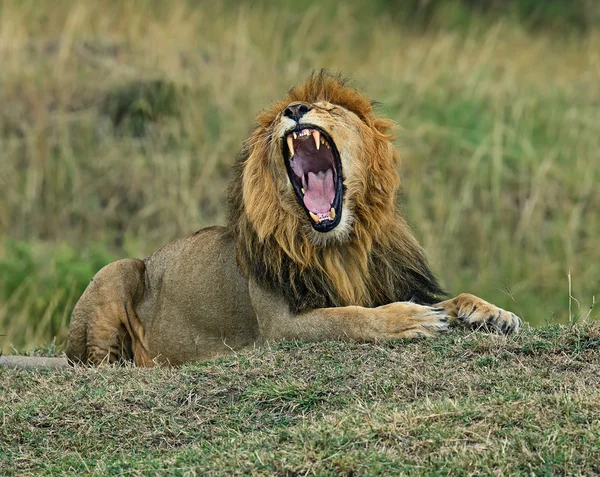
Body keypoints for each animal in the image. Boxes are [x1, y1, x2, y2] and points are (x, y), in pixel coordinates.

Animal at [62, 70, 520, 366]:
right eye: (286, 111)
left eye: (329, 108)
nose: (296, 108)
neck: (340, 245)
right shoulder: (278, 329)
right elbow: (348, 318)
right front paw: (410, 318)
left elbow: (452, 299)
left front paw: (492, 313)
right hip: (118, 270)